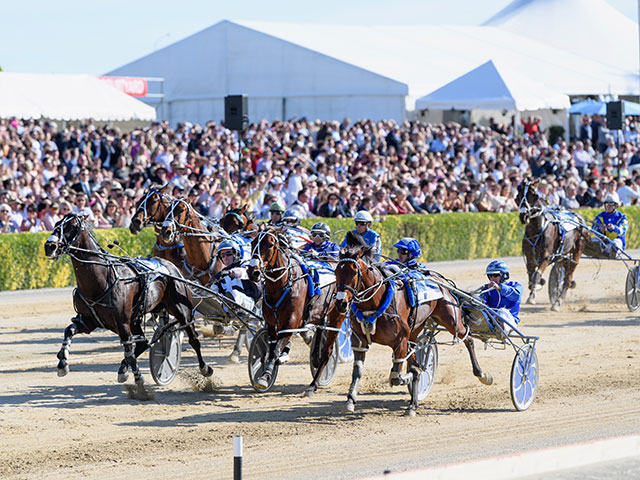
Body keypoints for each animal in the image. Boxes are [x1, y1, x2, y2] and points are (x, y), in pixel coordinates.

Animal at [46, 214, 215, 386]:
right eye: (57, 223)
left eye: (72, 226)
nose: (49, 246)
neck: (100, 280)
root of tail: (172, 268)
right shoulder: (88, 321)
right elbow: (69, 331)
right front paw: (62, 363)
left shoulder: (122, 323)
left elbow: (129, 351)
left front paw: (138, 377)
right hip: (136, 319)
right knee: (143, 343)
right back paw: (123, 368)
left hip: (181, 309)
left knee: (193, 339)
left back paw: (205, 368)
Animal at [245, 225, 336, 390]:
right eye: (253, 243)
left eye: (270, 244)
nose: (253, 271)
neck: (280, 286)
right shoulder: (272, 324)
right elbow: (271, 349)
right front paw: (267, 370)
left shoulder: (291, 322)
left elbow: (275, 350)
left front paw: (265, 376)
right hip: (319, 313)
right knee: (320, 328)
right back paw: (315, 358)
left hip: (337, 312)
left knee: (327, 345)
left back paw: (315, 379)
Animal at [322, 232, 492, 416]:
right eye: (336, 271)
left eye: (354, 272)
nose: (341, 303)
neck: (376, 303)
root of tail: (439, 280)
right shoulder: (360, 340)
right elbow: (358, 371)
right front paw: (350, 400)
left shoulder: (400, 341)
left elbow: (397, 376)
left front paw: (410, 375)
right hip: (415, 331)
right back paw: (412, 405)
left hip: (451, 319)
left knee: (468, 338)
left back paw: (482, 375)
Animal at [516, 180, 592, 312]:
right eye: (518, 196)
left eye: (535, 195)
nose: (523, 216)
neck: (537, 230)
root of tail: (580, 219)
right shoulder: (530, 258)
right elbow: (531, 277)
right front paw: (536, 288)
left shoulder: (546, 256)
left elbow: (536, 275)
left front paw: (532, 297)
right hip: (563, 255)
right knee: (565, 269)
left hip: (577, 251)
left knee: (568, 279)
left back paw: (557, 302)